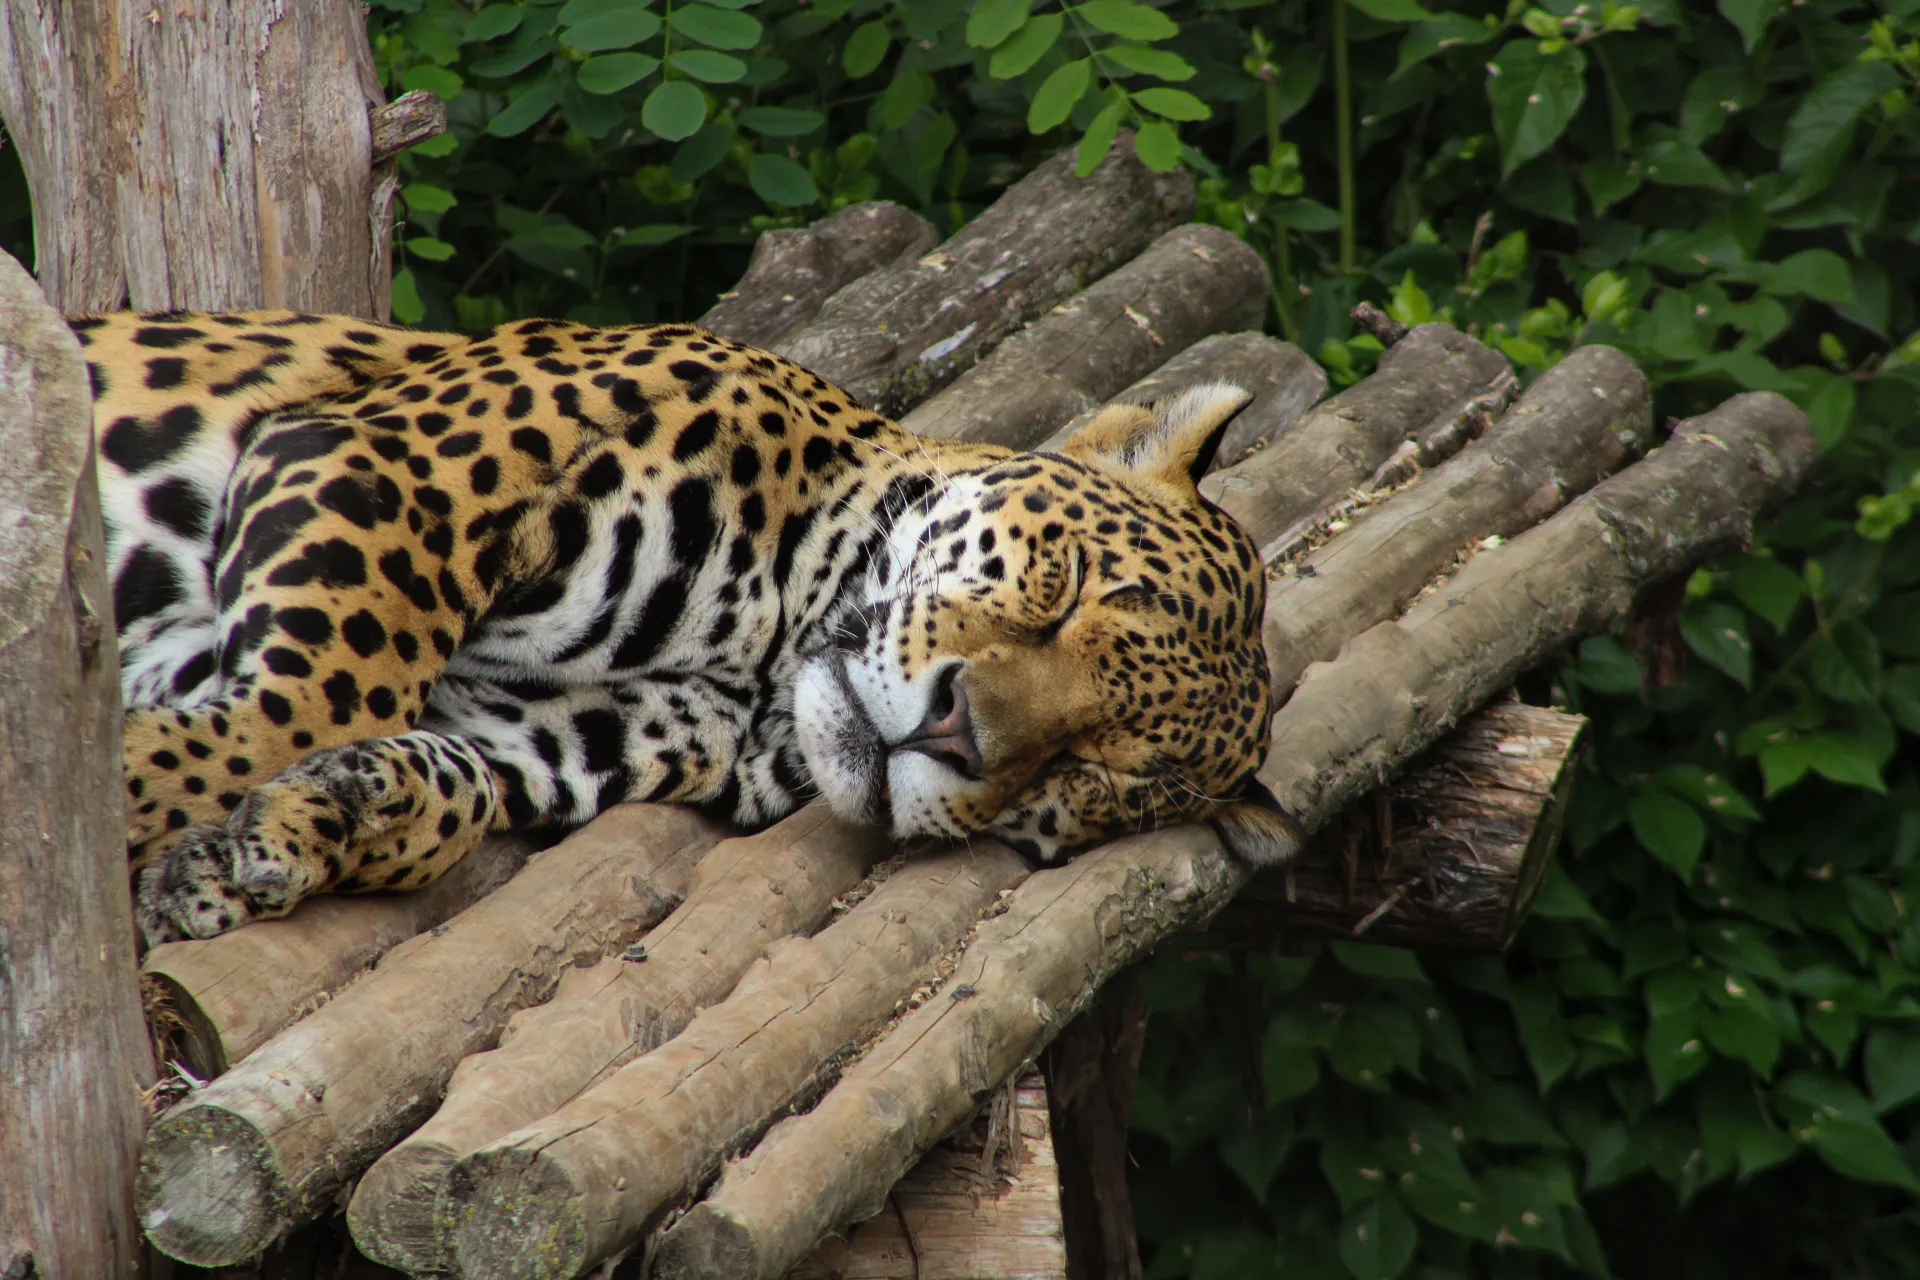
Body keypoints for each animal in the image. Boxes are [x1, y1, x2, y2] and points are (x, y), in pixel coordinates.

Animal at [77, 308, 1298, 946]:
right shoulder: (388, 461)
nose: (954, 733)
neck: (762, 659)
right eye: (1071, 588)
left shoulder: (560, 729)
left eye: (1099, 778)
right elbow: (324, 695)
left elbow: (445, 778)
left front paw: (277, 834)